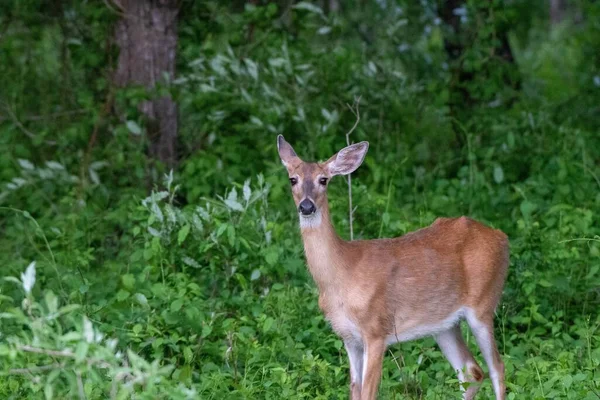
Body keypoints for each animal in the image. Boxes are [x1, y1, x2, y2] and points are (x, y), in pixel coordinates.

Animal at [278, 135, 510, 400]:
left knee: (497, 368)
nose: (306, 206)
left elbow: (368, 392)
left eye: (323, 179)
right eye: (292, 179)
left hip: (483, 304)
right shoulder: (348, 337)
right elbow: (354, 389)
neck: (341, 274)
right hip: (445, 325)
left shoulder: (376, 330)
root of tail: (502, 238)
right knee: (471, 371)